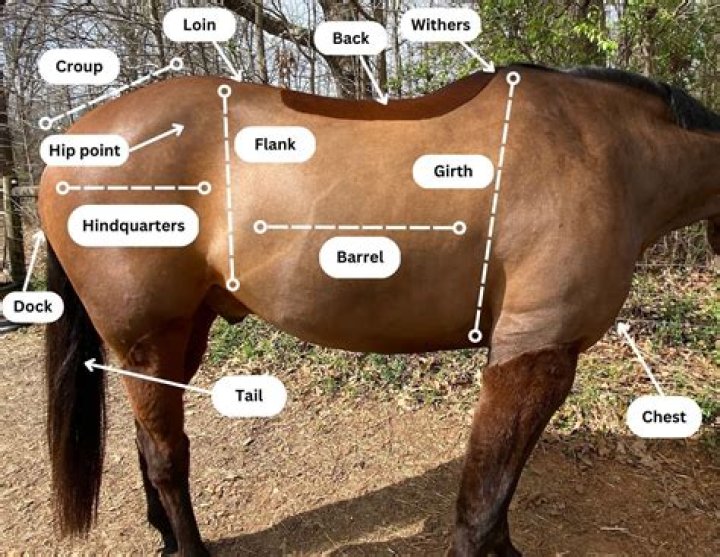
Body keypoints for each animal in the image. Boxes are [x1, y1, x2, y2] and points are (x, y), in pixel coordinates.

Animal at [39, 64, 720, 556]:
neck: (608, 151)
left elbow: (498, 496)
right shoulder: (533, 355)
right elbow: (483, 499)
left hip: (180, 335)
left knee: (149, 441)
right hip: (149, 335)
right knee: (165, 455)